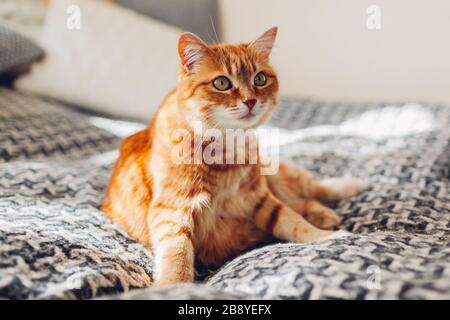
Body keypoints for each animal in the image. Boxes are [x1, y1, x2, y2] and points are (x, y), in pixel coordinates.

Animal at [102, 27, 366, 286]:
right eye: (222, 83)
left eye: (259, 79)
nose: (250, 101)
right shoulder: (172, 211)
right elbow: (177, 253)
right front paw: (173, 286)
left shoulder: (259, 197)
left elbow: (292, 221)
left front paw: (325, 237)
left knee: (312, 190)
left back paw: (346, 191)